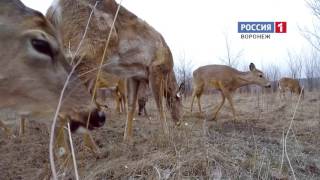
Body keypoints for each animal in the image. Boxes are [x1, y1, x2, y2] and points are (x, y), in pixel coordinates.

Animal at [46, 0, 184, 141]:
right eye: (180, 101)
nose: (179, 122)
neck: (168, 71)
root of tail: (52, 10)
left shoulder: (135, 76)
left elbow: (131, 106)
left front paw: (127, 138)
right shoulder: (155, 69)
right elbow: (160, 105)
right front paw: (167, 135)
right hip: (84, 52)